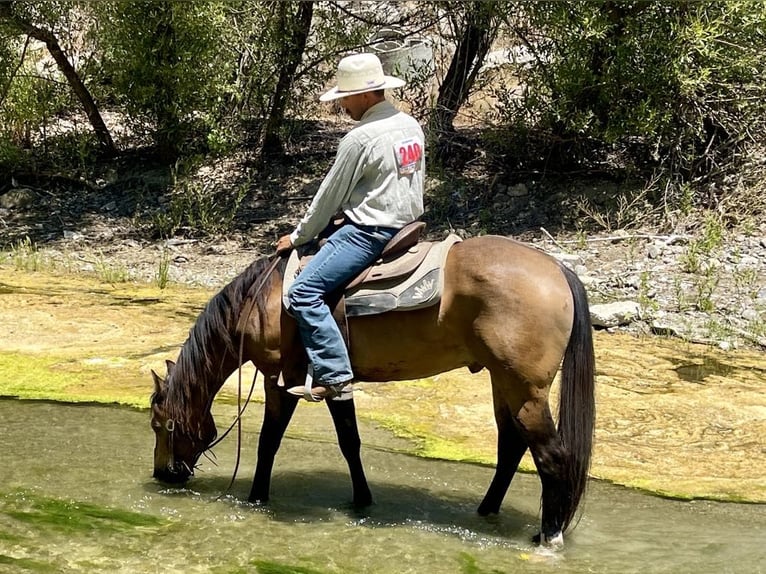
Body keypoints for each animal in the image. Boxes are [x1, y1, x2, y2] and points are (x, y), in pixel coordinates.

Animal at [148, 235, 592, 548]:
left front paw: (257, 498)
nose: (163, 474)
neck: (260, 301)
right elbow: (350, 441)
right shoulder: (334, 381)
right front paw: (361, 500)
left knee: (551, 456)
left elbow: (268, 442)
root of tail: (557, 269)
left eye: (159, 423)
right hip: (503, 382)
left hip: (525, 389)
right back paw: (485, 512)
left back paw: (548, 537)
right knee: (511, 448)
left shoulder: (281, 379)